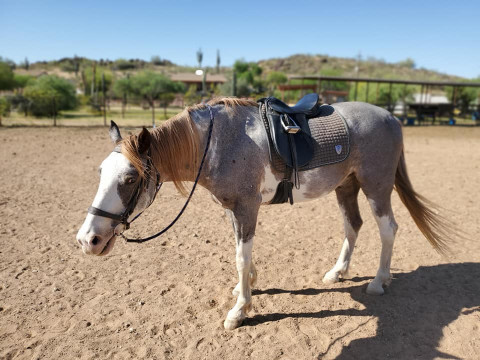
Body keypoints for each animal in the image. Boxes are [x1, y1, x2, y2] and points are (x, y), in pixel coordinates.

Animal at [77, 96, 452, 330]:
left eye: (130, 178)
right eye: (100, 172)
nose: (87, 239)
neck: (218, 143)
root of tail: (391, 118)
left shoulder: (247, 206)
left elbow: (241, 256)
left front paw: (240, 311)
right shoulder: (234, 208)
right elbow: (240, 251)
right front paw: (246, 287)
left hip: (377, 186)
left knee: (388, 228)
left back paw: (378, 281)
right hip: (346, 186)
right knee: (353, 226)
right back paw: (338, 273)